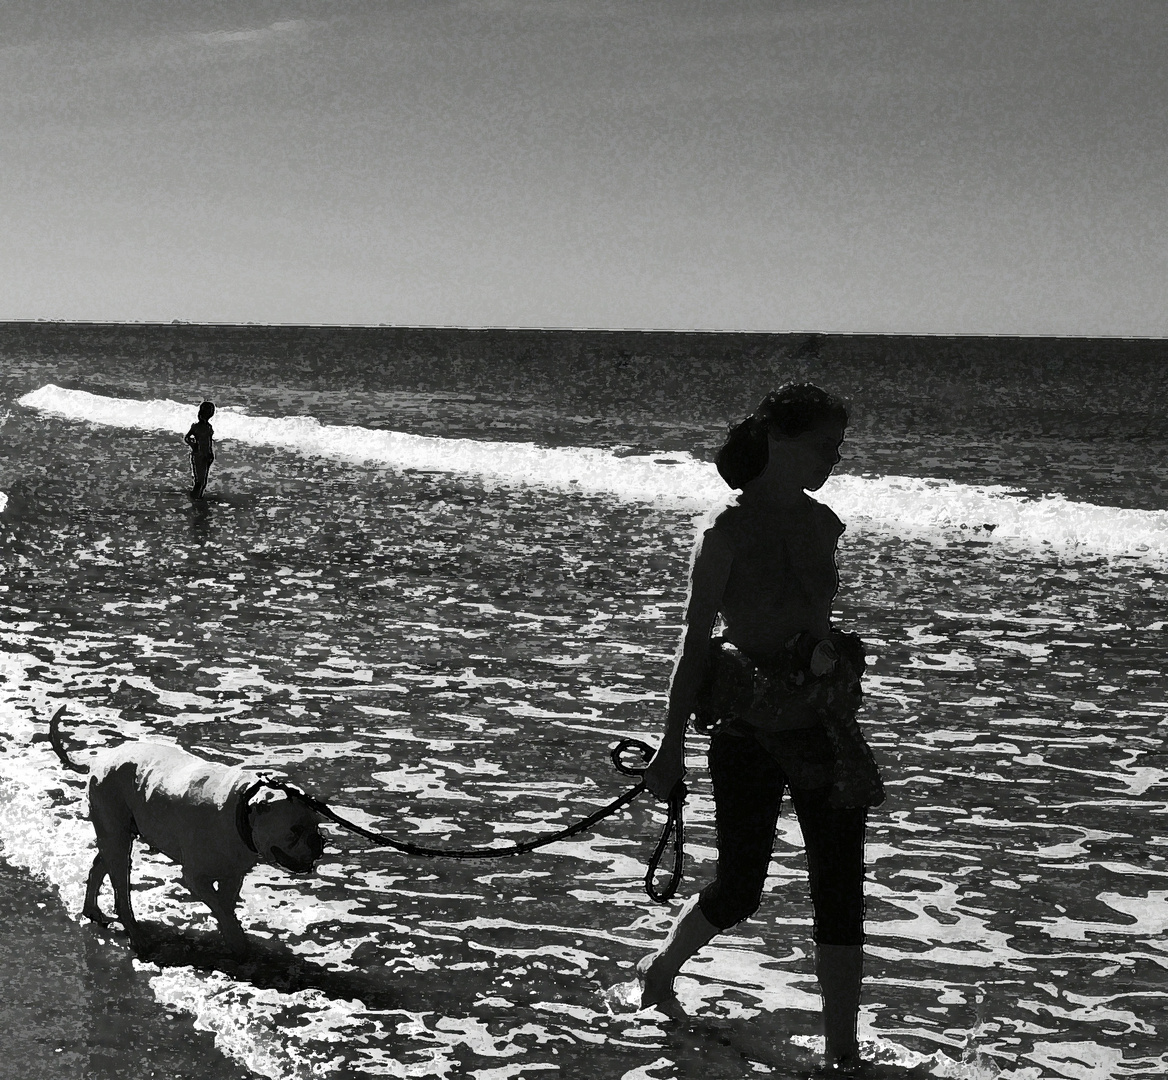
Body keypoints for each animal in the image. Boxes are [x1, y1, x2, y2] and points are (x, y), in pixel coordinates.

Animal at [48, 705, 324, 957]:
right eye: (295, 829)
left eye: (316, 824)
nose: (319, 842)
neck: (241, 807)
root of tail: (99, 760)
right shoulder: (196, 878)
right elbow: (220, 906)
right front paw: (236, 940)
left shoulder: (233, 875)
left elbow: (225, 906)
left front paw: (231, 935)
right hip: (117, 837)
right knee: (121, 895)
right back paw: (136, 935)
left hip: (116, 836)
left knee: (98, 866)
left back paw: (92, 911)